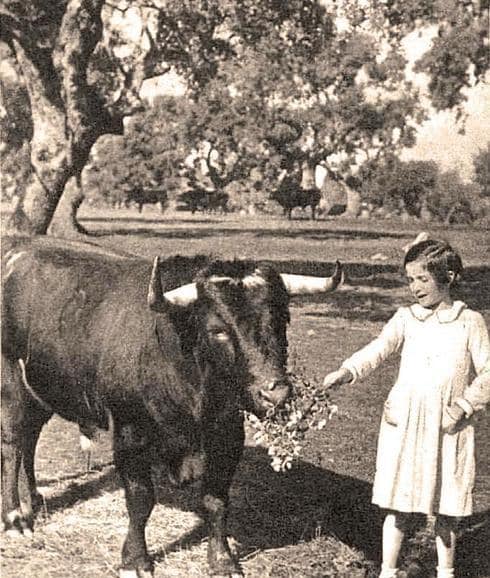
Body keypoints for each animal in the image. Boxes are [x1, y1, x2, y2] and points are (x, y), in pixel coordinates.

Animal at [1, 236, 342, 572]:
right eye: (217, 330)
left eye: (283, 320)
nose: (275, 395)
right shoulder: (129, 433)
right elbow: (140, 500)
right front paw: (135, 560)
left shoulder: (227, 433)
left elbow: (216, 501)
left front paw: (222, 559)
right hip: (11, 384)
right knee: (13, 444)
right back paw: (16, 517)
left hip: (41, 392)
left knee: (30, 440)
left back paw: (35, 498)